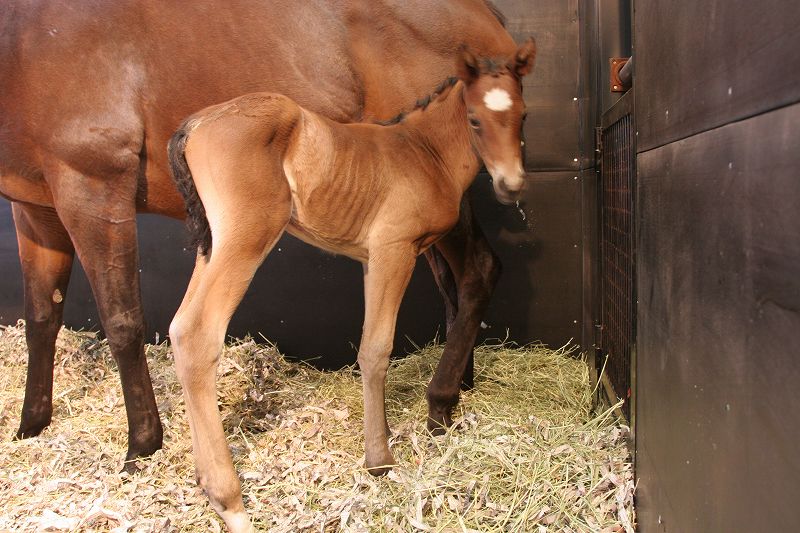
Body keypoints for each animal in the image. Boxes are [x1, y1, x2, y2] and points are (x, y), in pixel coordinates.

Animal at [0, 0, 520, 466]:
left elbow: (122, 321)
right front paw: (31, 425)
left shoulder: (94, 188)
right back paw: (454, 392)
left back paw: (442, 401)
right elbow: (42, 316)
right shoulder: (36, 209)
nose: (512, 181)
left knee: (478, 271)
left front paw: (142, 444)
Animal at [166, 39, 536, 528]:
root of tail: (195, 123)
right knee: (197, 333)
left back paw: (203, 480)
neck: (425, 152)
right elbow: (375, 348)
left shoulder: (370, 259)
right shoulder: (394, 249)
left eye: (524, 115)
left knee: (178, 327)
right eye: (474, 119)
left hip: (212, 243)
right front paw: (379, 458)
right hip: (245, 237)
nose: (511, 185)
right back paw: (228, 499)